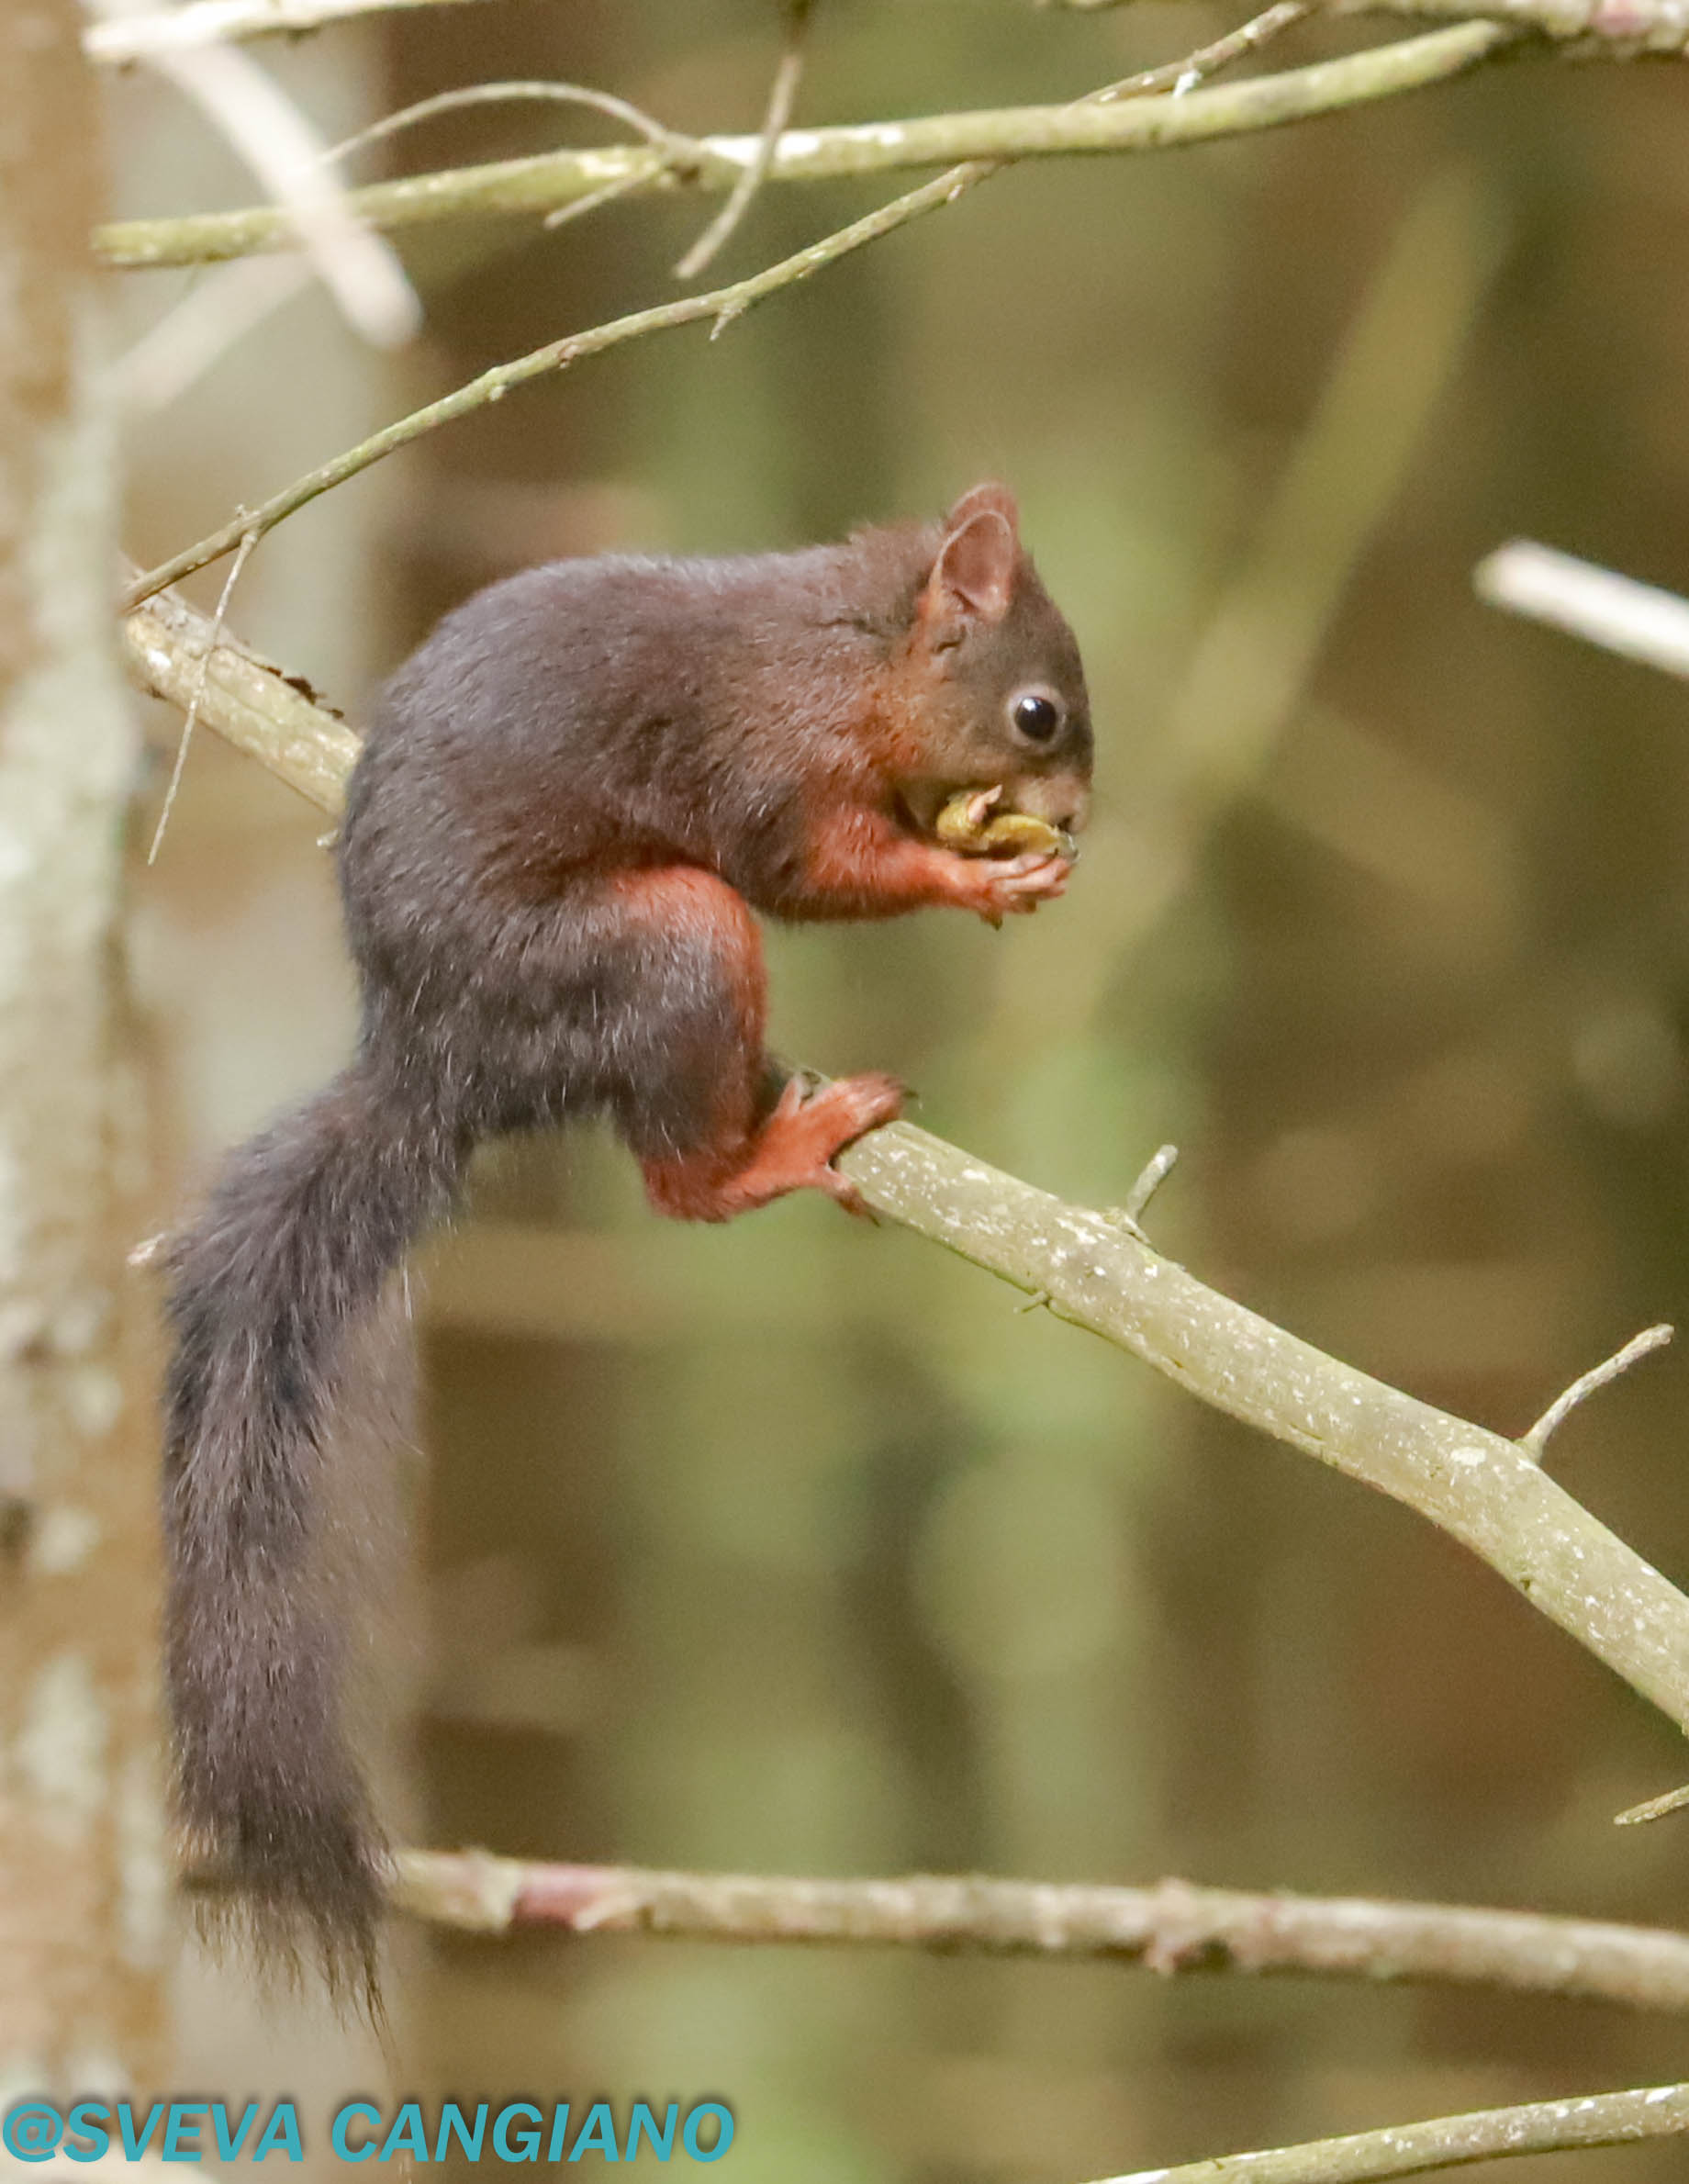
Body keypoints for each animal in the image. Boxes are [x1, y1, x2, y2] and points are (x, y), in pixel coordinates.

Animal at [160, 481, 1093, 2006]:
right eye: (1036, 714)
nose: (1073, 815)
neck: (847, 651)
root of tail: (439, 1061)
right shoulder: (772, 761)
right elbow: (809, 868)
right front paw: (971, 871)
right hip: (670, 942)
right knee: (679, 1175)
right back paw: (784, 1140)